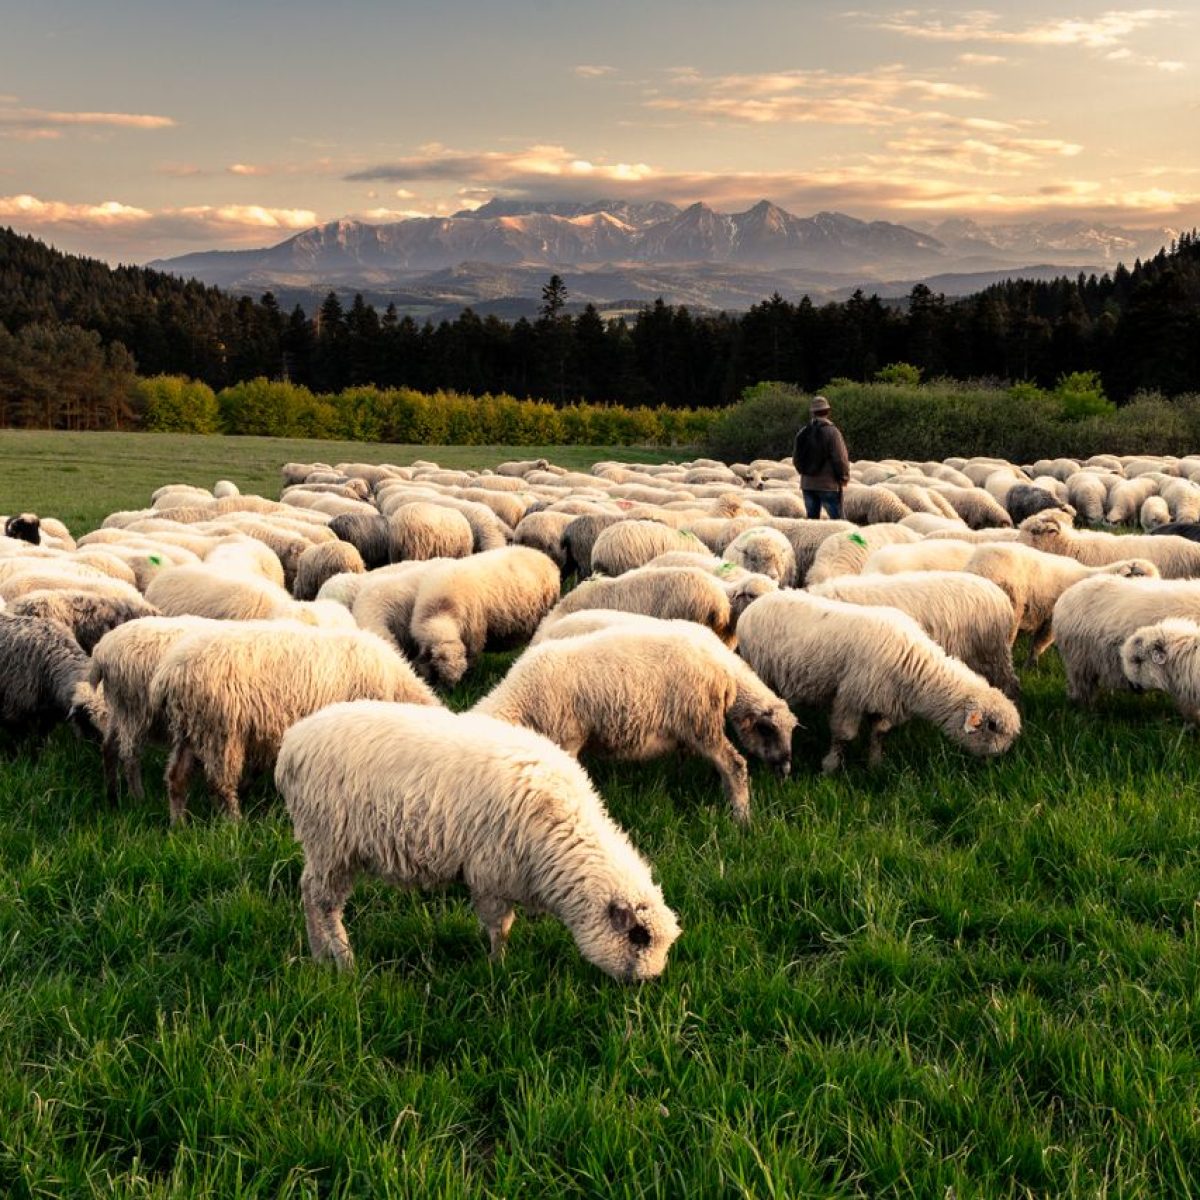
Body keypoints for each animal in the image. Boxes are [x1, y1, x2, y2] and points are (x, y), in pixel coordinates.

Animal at [153, 624, 440, 823]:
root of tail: (170, 673)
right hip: (220, 731)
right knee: (219, 785)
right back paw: (234, 824)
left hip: (190, 730)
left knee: (176, 777)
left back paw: (179, 825)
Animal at [277, 701, 679, 978]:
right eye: (639, 936)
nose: (649, 981)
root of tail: (292, 744)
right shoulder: (490, 876)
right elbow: (500, 928)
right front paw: (497, 968)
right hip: (332, 843)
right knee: (323, 903)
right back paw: (344, 961)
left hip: (324, 846)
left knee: (307, 891)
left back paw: (319, 956)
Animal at [476, 626, 796, 822]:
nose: (785, 769)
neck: (523, 698)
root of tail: (722, 661)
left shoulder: (568, 737)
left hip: (700, 720)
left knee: (734, 764)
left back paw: (740, 817)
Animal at [737, 590, 1020, 773]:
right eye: (992, 726)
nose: (1000, 760)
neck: (914, 665)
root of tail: (755, 604)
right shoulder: (851, 696)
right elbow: (844, 735)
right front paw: (829, 768)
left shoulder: (883, 700)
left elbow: (878, 734)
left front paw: (875, 765)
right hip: (759, 668)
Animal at [963, 542, 1160, 665]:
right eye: (1139, 576)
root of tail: (977, 567)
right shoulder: (1051, 620)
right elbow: (1039, 644)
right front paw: (1031, 665)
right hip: (1011, 608)